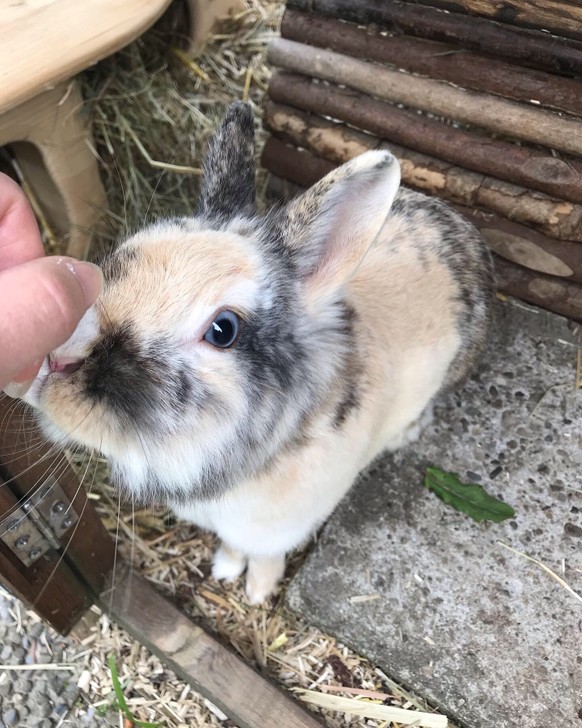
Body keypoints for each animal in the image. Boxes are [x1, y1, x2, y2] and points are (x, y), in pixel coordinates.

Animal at [16, 102, 496, 604]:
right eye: (124, 255)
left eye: (223, 330)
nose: (58, 359)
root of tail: (459, 223)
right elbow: (232, 545)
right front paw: (227, 568)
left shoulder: (277, 530)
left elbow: (266, 556)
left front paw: (257, 591)